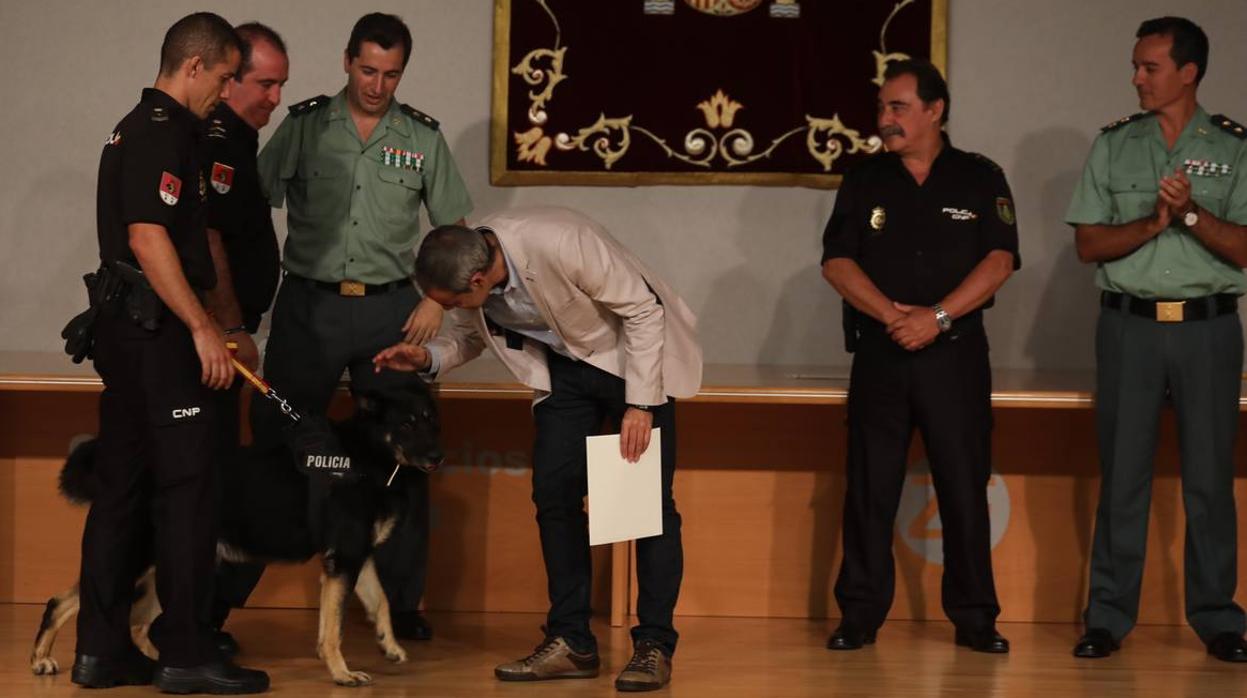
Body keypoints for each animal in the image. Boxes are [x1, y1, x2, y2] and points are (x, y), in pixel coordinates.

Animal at [26, 383, 446, 683]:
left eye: (429, 419)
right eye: (406, 423)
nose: (438, 457)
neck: (367, 456)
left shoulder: (357, 557)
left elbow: (381, 602)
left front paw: (389, 645)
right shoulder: (342, 561)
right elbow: (334, 627)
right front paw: (341, 672)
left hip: (173, 564)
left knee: (139, 623)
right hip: (138, 560)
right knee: (62, 602)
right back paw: (42, 659)